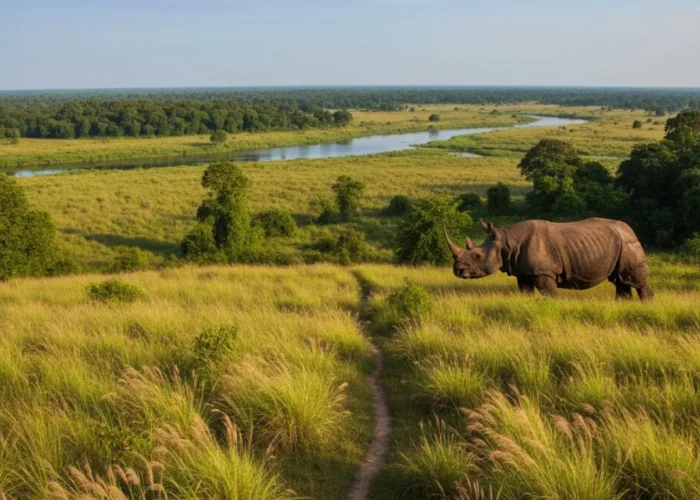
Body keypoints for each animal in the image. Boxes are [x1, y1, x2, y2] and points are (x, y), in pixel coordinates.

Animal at [444, 218, 654, 300]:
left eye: (477, 256)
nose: (457, 270)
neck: (506, 242)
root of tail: (631, 230)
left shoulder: (545, 272)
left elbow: (549, 294)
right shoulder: (523, 272)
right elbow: (525, 292)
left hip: (628, 245)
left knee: (635, 281)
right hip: (620, 245)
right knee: (621, 281)